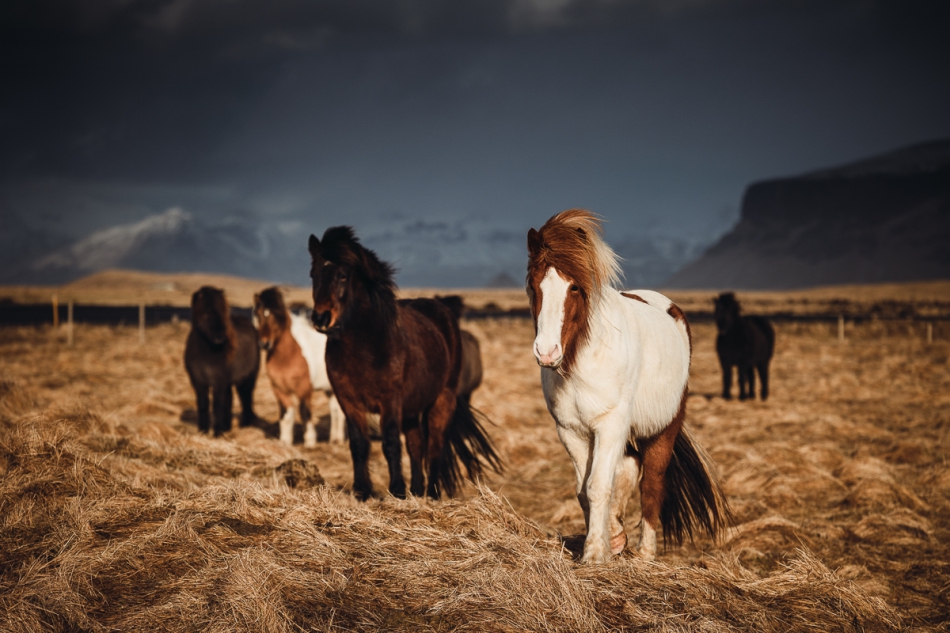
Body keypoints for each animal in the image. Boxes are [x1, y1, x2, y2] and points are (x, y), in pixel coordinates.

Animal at [184, 286, 260, 434]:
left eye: (222, 310)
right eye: (206, 312)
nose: (220, 336)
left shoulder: (219, 381)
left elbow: (217, 405)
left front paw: (217, 432)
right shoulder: (198, 382)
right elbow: (203, 404)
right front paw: (203, 431)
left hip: (247, 379)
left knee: (246, 398)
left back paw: (245, 426)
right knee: (230, 400)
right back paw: (227, 428)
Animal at [253, 286, 346, 444]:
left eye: (277, 316)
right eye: (258, 314)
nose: (265, 343)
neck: (288, 356)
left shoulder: (304, 389)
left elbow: (304, 413)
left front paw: (310, 442)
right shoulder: (279, 389)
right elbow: (286, 414)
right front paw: (285, 441)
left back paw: (339, 440)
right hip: (330, 389)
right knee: (335, 410)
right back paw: (333, 439)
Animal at [312, 227, 506, 498]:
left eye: (342, 275)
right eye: (313, 274)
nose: (320, 318)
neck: (366, 345)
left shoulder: (390, 401)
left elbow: (391, 443)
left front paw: (397, 490)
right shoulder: (348, 401)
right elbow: (359, 444)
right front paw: (362, 491)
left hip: (441, 400)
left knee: (434, 444)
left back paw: (432, 492)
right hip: (414, 408)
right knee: (416, 445)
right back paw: (416, 490)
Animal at [524, 209, 732, 564]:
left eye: (575, 287)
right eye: (534, 286)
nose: (546, 353)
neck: (581, 361)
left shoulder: (610, 425)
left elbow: (598, 485)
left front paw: (595, 553)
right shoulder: (570, 431)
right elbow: (585, 489)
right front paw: (611, 540)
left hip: (663, 430)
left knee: (651, 484)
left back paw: (647, 553)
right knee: (629, 466)